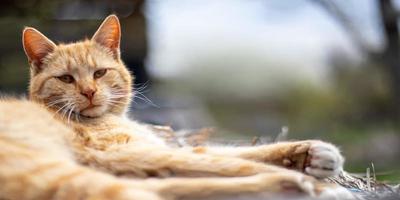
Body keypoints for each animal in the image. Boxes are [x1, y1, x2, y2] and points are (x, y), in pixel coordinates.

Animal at [0, 14, 354, 199]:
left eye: (99, 73)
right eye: (66, 79)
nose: (88, 92)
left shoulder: (159, 148)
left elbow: (236, 152)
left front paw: (313, 155)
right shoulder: (131, 153)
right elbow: (233, 163)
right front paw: (317, 183)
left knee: (164, 187)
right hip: (57, 172)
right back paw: (299, 187)